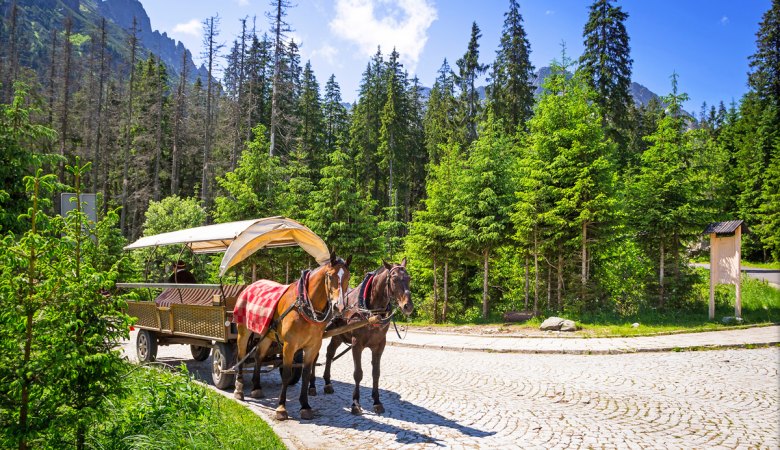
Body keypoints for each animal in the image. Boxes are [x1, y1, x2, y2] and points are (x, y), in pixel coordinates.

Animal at [233, 251, 352, 420]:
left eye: (348, 277)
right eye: (330, 276)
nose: (339, 307)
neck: (304, 305)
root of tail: (250, 285)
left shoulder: (313, 346)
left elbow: (306, 374)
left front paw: (305, 405)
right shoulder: (289, 346)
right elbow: (287, 374)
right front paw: (281, 408)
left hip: (266, 335)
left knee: (258, 357)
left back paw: (256, 387)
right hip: (243, 331)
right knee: (241, 356)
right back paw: (239, 388)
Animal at [312, 258, 414, 416]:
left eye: (409, 278)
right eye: (395, 279)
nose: (408, 306)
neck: (371, 311)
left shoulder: (379, 345)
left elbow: (376, 373)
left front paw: (377, 401)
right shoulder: (357, 344)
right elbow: (358, 373)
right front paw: (355, 403)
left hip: (338, 335)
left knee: (329, 353)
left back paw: (328, 383)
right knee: (313, 356)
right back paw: (311, 386)